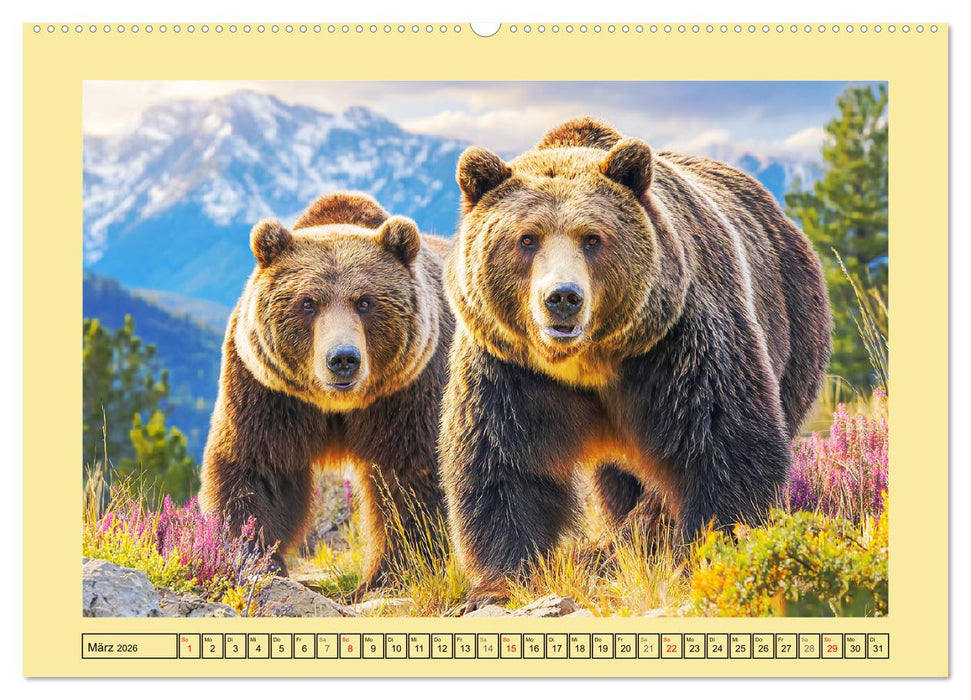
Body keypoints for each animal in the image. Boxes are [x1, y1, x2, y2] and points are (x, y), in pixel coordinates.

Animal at [199, 191, 454, 594]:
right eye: (308, 302)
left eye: (365, 301)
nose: (343, 359)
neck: (338, 405)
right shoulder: (268, 391)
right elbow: (258, 468)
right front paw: (254, 557)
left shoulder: (411, 389)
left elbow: (411, 475)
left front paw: (392, 571)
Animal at [441, 117, 831, 608]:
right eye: (526, 239)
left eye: (592, 238)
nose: (562, 298)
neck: (588, 362)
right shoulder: (508, 367)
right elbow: (503, 465)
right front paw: (499, 583)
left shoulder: (677, 343)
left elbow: (724, 445)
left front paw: (713, 547)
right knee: (615, 484)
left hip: (795, 325)